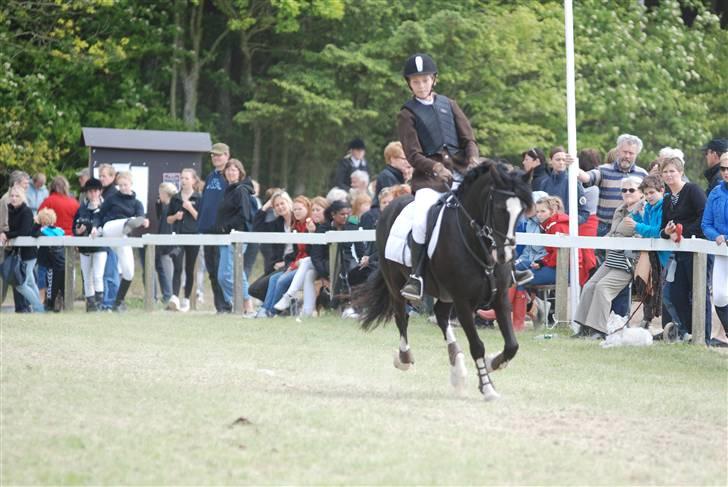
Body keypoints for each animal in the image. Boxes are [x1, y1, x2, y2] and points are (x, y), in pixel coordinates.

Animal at [356, 160, 532, 400]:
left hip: (445, 294)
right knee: (402, 317)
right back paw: (404, 358)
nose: (504, 256)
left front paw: (492, 364)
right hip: (397, 284)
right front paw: (487, 387)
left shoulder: (500, 298)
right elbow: (477, 346)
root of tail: (390, 206)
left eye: (521, 211)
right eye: (498, 209)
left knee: (440, 315)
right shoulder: (463, 302)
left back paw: (457, 368)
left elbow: (512, 345)